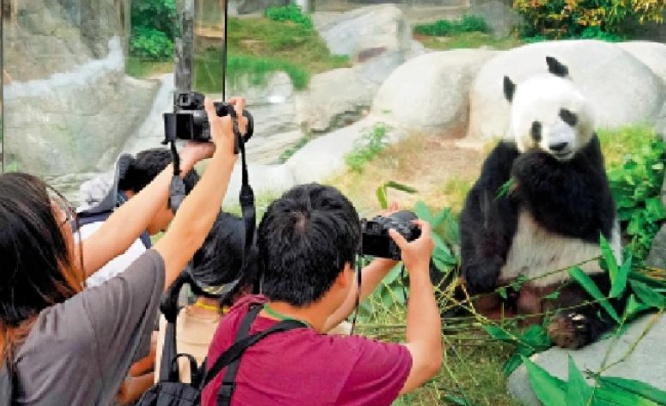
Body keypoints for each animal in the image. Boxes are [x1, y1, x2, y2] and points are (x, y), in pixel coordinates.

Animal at [456, 56, 624, 348]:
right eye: (536, 126)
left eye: (566, 114)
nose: (559, 145)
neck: (558, 161)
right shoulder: (505, 155)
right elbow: (484, 209)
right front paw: (482, 273)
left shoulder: (589, 157)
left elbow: (586, 214)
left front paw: (533, 168)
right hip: (478, 273)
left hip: (587, 271)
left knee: (601, 297)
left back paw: (570, 327)